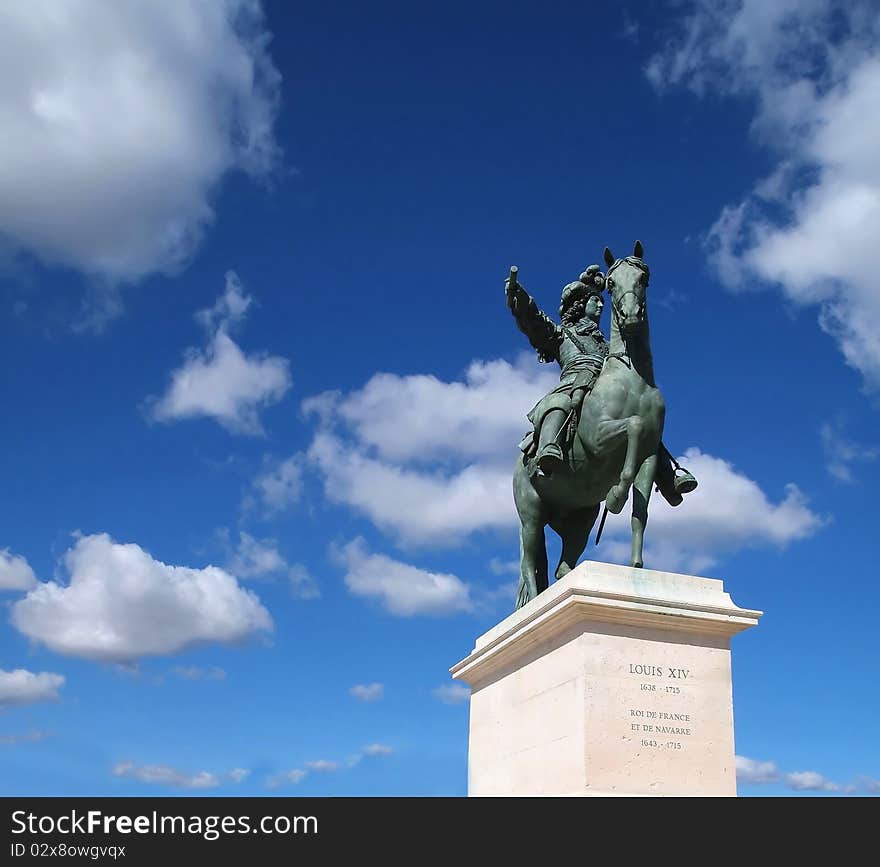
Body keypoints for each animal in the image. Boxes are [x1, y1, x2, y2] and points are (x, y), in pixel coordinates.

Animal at [512, 239, 664, 612]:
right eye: (610, 283)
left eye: (644, 278)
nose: (631, 316)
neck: (632, 377)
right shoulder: (598, 439)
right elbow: (634, 426)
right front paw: (616, 495)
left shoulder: (651, 457)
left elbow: (640, 512)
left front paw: (636, 567)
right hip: (531, 513)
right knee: (529, 561)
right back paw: (534, 602)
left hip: (579, 519)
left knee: (562, 567)